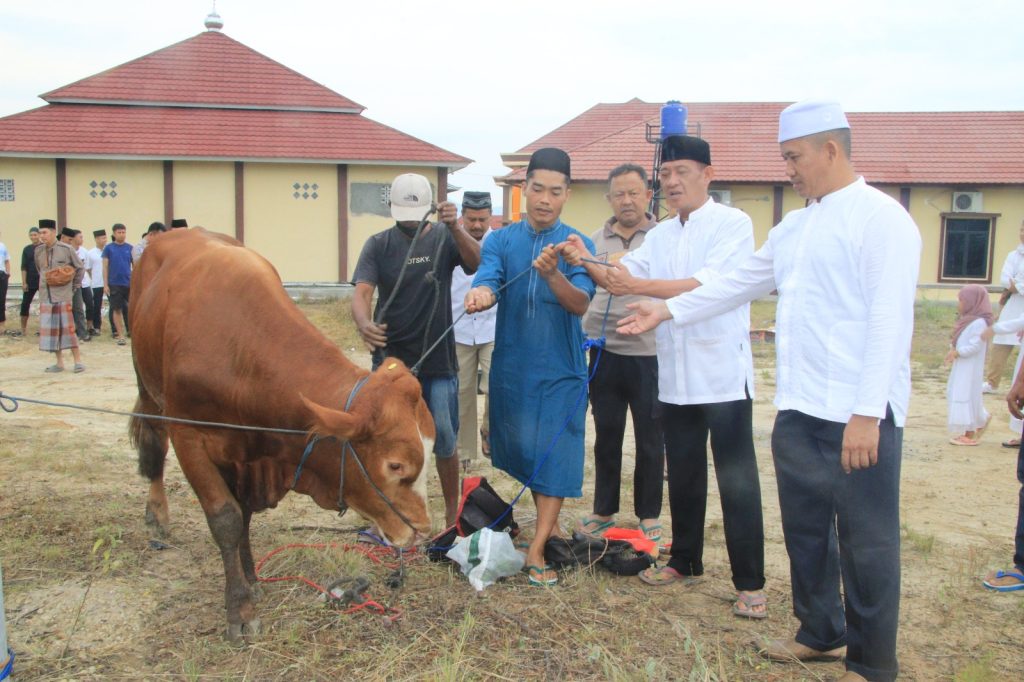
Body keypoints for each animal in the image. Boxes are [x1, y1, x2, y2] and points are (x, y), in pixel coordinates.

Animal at [128, 228, 432, 638]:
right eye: (396, 465)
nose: (422, 531)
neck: (239, 348)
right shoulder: (190, 437)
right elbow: (225, 518)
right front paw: (238, 608)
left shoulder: (249, 453)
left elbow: (243, 513)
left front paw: (251, 577)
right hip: (147, 386)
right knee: (154, 444)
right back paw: (157, 513)